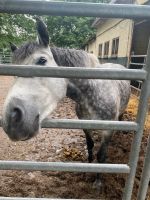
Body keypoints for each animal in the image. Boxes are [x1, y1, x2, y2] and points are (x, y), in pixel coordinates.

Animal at [1, 18, 130, 188]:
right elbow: (90, 147)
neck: (94, 92)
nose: (11, 118)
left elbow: (101, 155)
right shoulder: (85, 126)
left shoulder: (107, 130)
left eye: (42, 60)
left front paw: (97, 182)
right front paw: (88, 170)